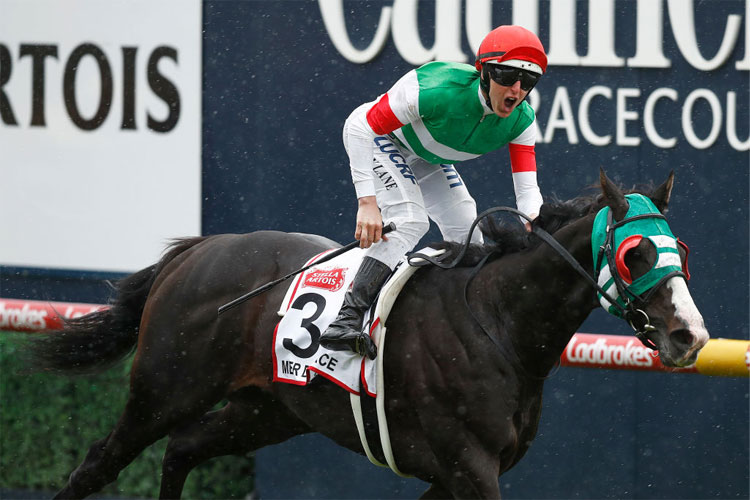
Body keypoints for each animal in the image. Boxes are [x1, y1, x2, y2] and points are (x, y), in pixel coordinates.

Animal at [23, 171, 712, 496]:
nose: (690, 336)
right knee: (100, 462)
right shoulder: (469, 467)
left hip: (268, 410)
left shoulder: (449, 476)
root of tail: (199, 249)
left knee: (184, 449)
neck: (498, 324)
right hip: (166, 389)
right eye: (633, 255)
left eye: (679, 248)